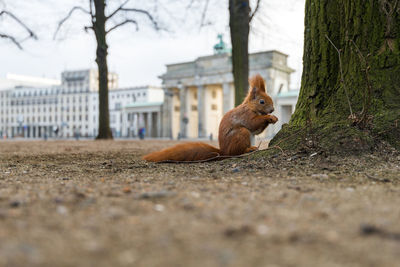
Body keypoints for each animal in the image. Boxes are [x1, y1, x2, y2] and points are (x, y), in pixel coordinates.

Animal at [144, 74, 278, 162]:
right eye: (262, 101)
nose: (272, 109)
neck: (250, 106)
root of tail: (223, 152)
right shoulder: (244, 115)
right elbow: (252, 123)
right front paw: (269, 117)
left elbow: (257, 130)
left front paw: (274, 118)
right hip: (241, 134)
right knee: (235, 153)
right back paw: (248, 150)